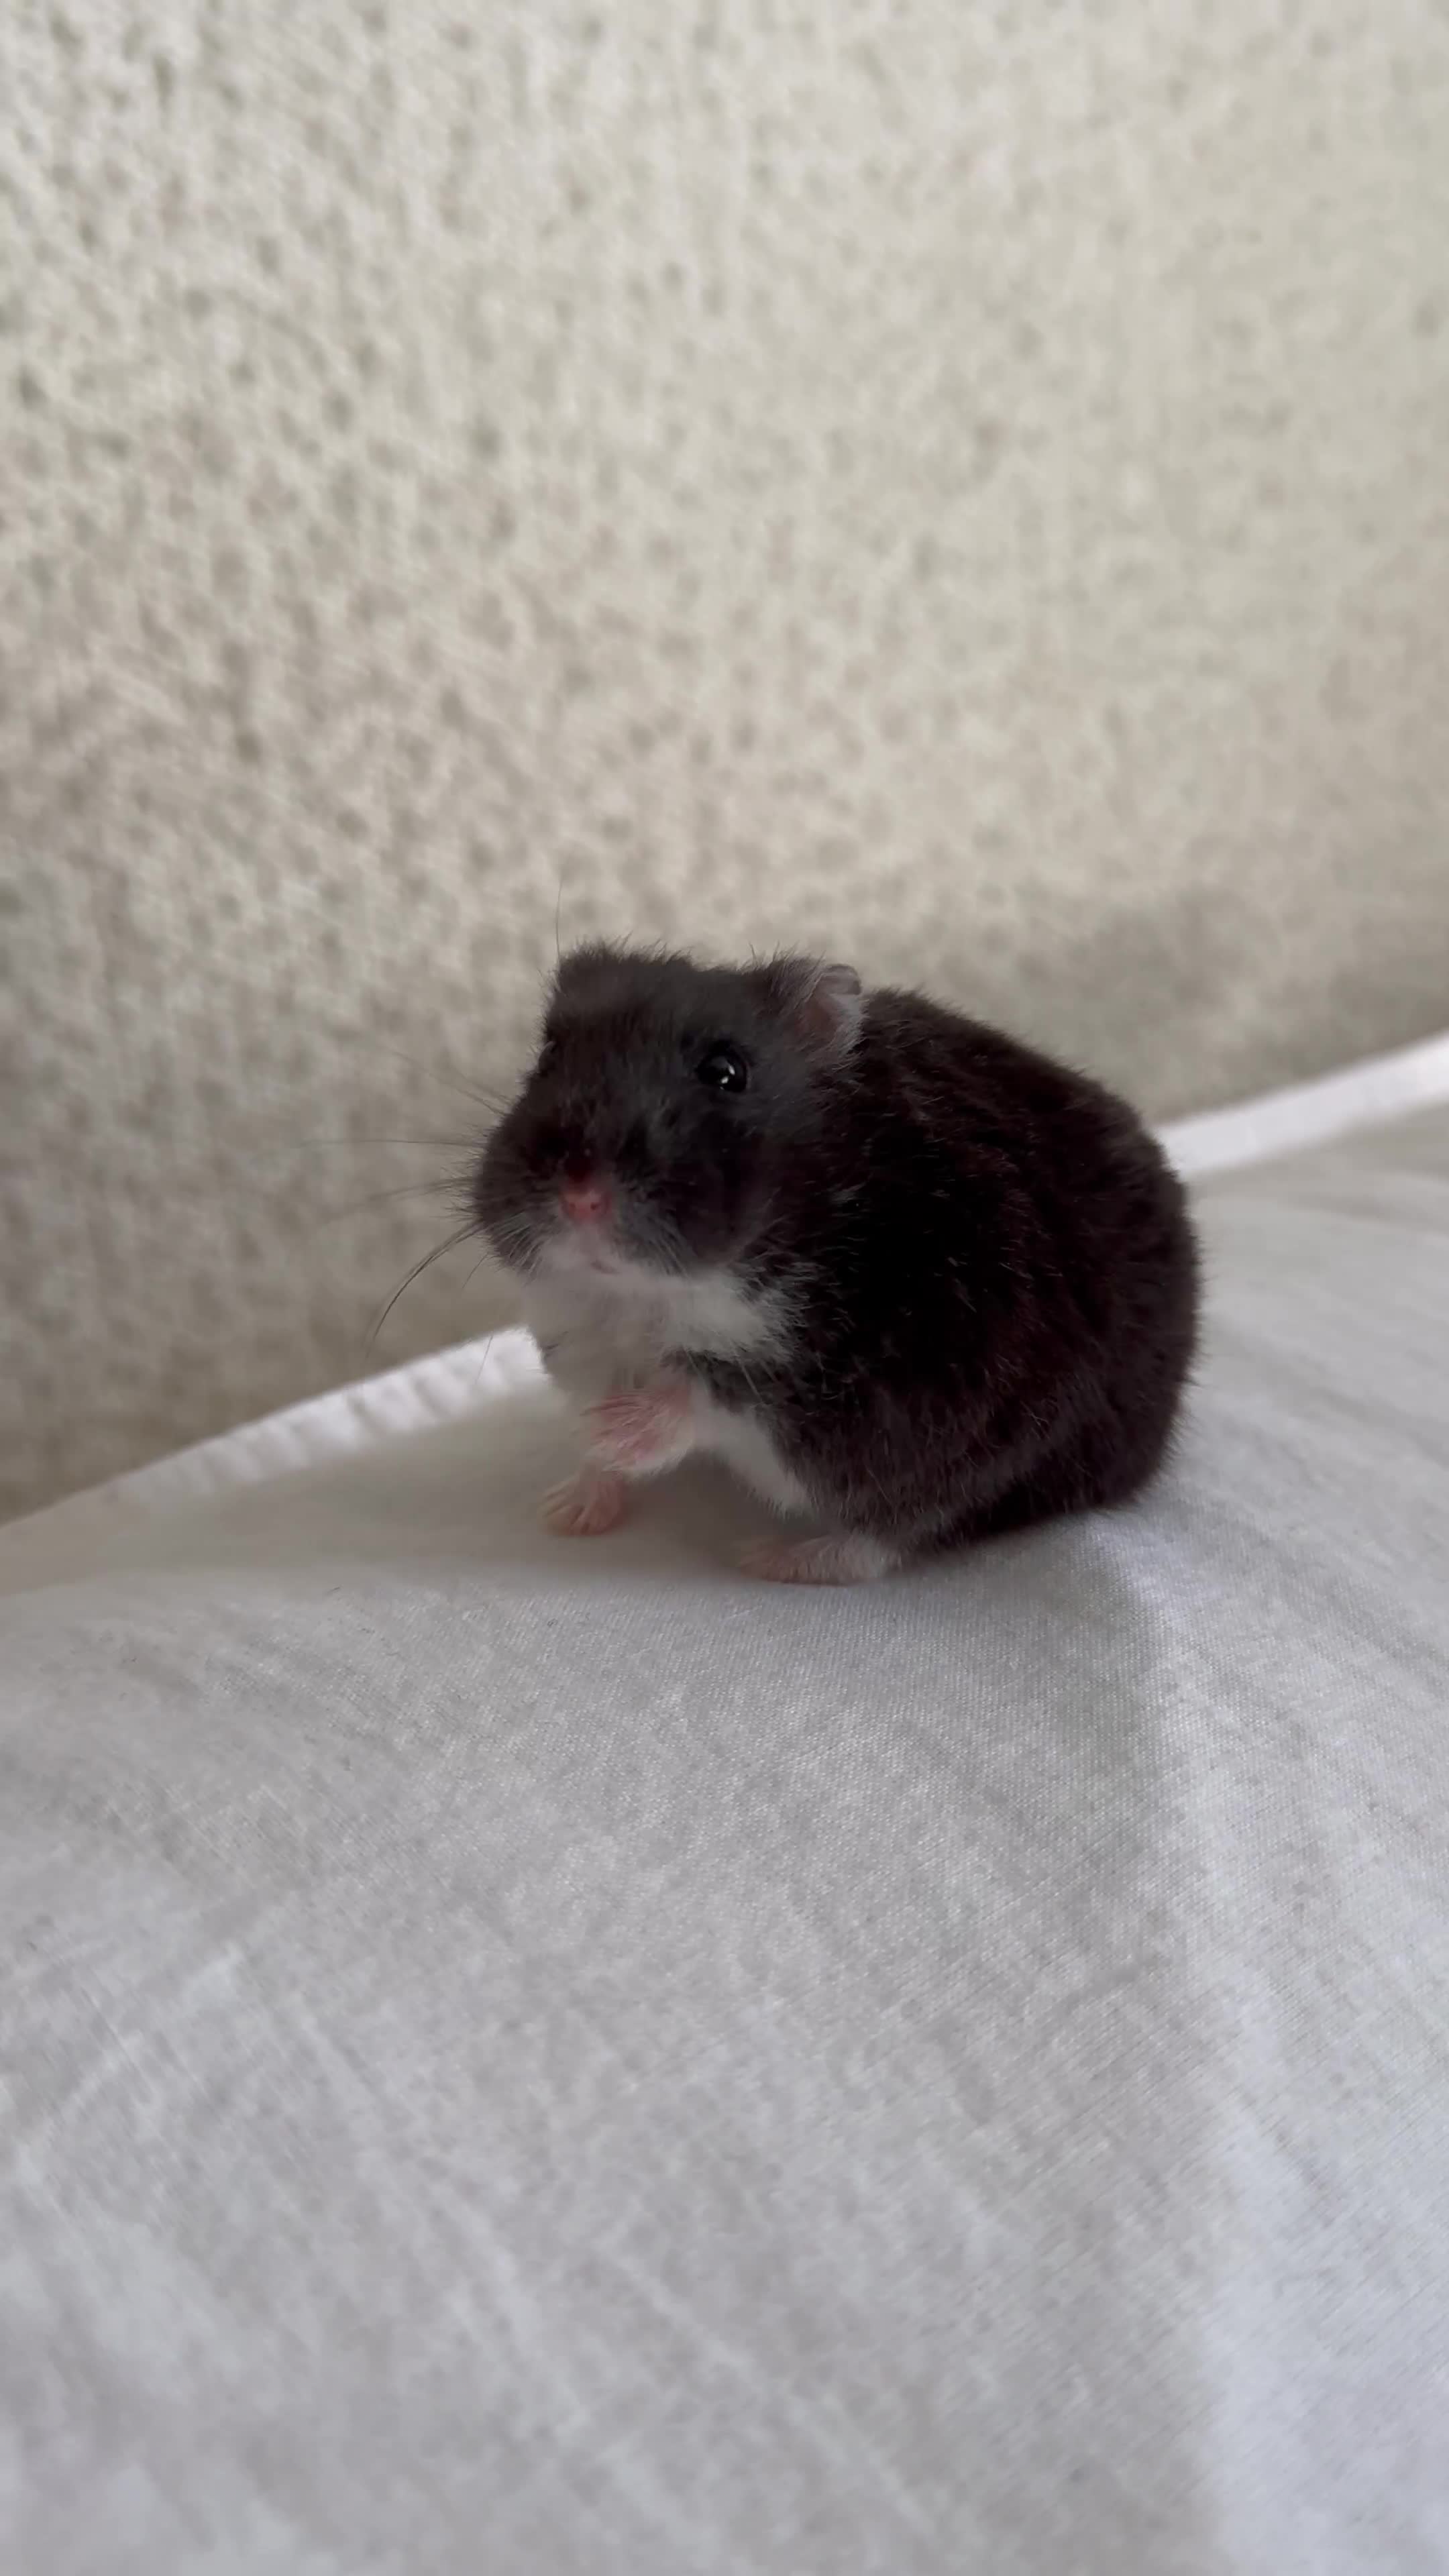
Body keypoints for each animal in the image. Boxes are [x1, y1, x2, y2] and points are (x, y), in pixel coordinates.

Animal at [473, 943, 1199, 1584]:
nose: (579, 1196)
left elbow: (711, 1391)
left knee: (889, 1540)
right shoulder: (582, 1340)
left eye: (726, 1072)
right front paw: (569, 1503)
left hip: (996, 1463)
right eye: (550, 1054)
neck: (651, 1296)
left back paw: (771, 1559)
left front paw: (617, 1429)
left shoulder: (876, 1382)